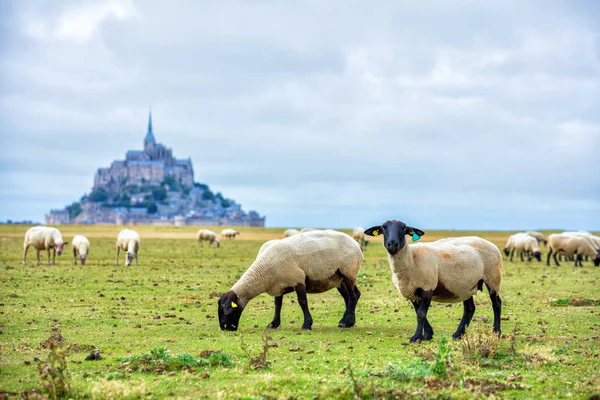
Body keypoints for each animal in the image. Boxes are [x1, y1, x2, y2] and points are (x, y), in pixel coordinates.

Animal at [218, 230, 364, 332]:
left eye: (227, 310)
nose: (225, 328)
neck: (262, 271)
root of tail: (357, 244)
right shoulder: (278, 286)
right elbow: (277, 305)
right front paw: (273, 324)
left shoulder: (298, 279)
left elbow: (302, 302)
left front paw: (306, 325)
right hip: (339, 278)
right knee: (349, 297)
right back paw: (349, 322)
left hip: (349, 271)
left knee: (354, 296)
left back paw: (345, 321)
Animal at [366, 220, 502, 342]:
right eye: (383, 228)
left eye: (404, 228)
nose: (392, 244)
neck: (411, 258)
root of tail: (490, 243)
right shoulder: (412, 291)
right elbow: (418, 313)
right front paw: (427, 335)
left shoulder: (427, 287)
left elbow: (421, 314)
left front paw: (416, 337)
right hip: (465, 286)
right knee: (469, 309)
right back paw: (458, 334)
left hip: (493, 278)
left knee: (496, 304)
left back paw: (496, 332)